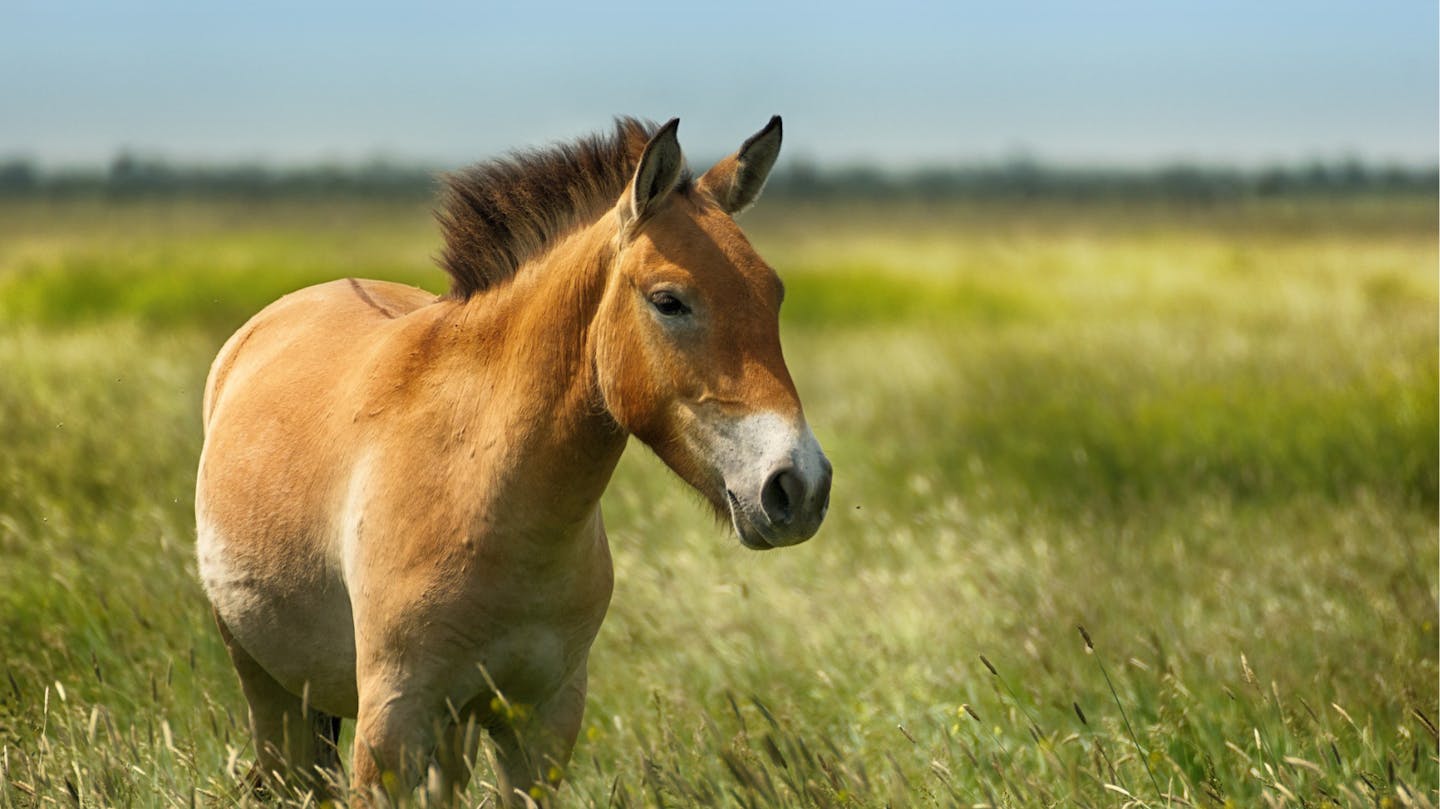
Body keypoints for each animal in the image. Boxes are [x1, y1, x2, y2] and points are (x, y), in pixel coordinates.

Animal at [197, 116, 840, 800]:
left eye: (773, 296)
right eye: (669, 301)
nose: (799, 487)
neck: (478, 486)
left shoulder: (541, 726)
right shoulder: (390, 729)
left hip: (446, 730)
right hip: (269, 690)